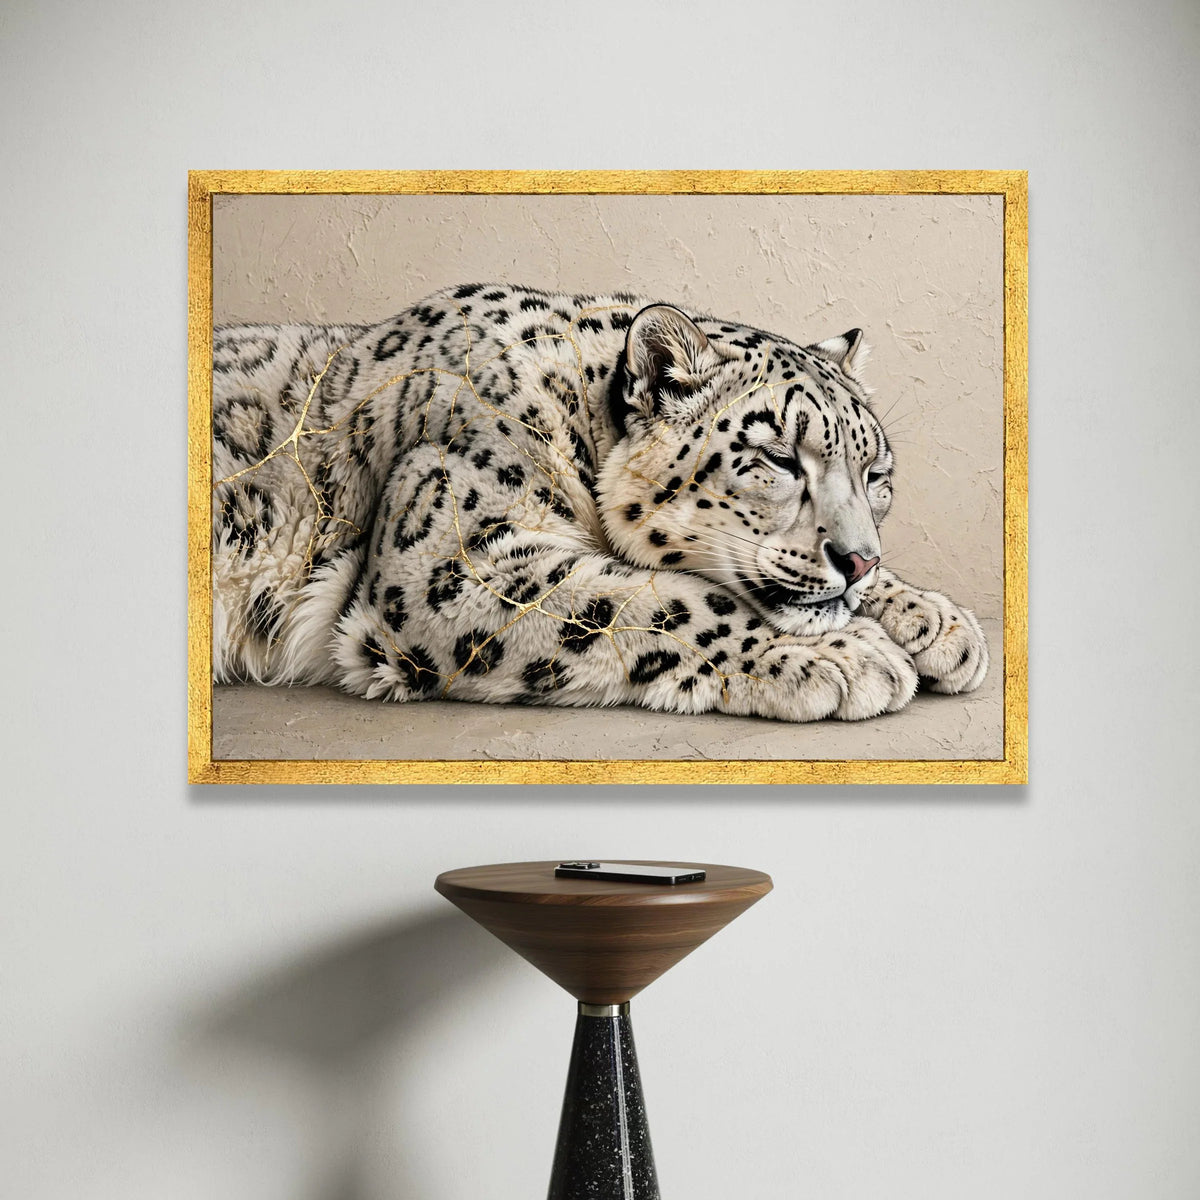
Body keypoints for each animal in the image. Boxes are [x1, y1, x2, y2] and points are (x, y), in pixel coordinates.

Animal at [211, 284, 988, 723]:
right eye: (777, 459)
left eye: (877, 473)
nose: (859, 561)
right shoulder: (450, 564)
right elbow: (664, 600)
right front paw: (854, 654)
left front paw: (937, 623)